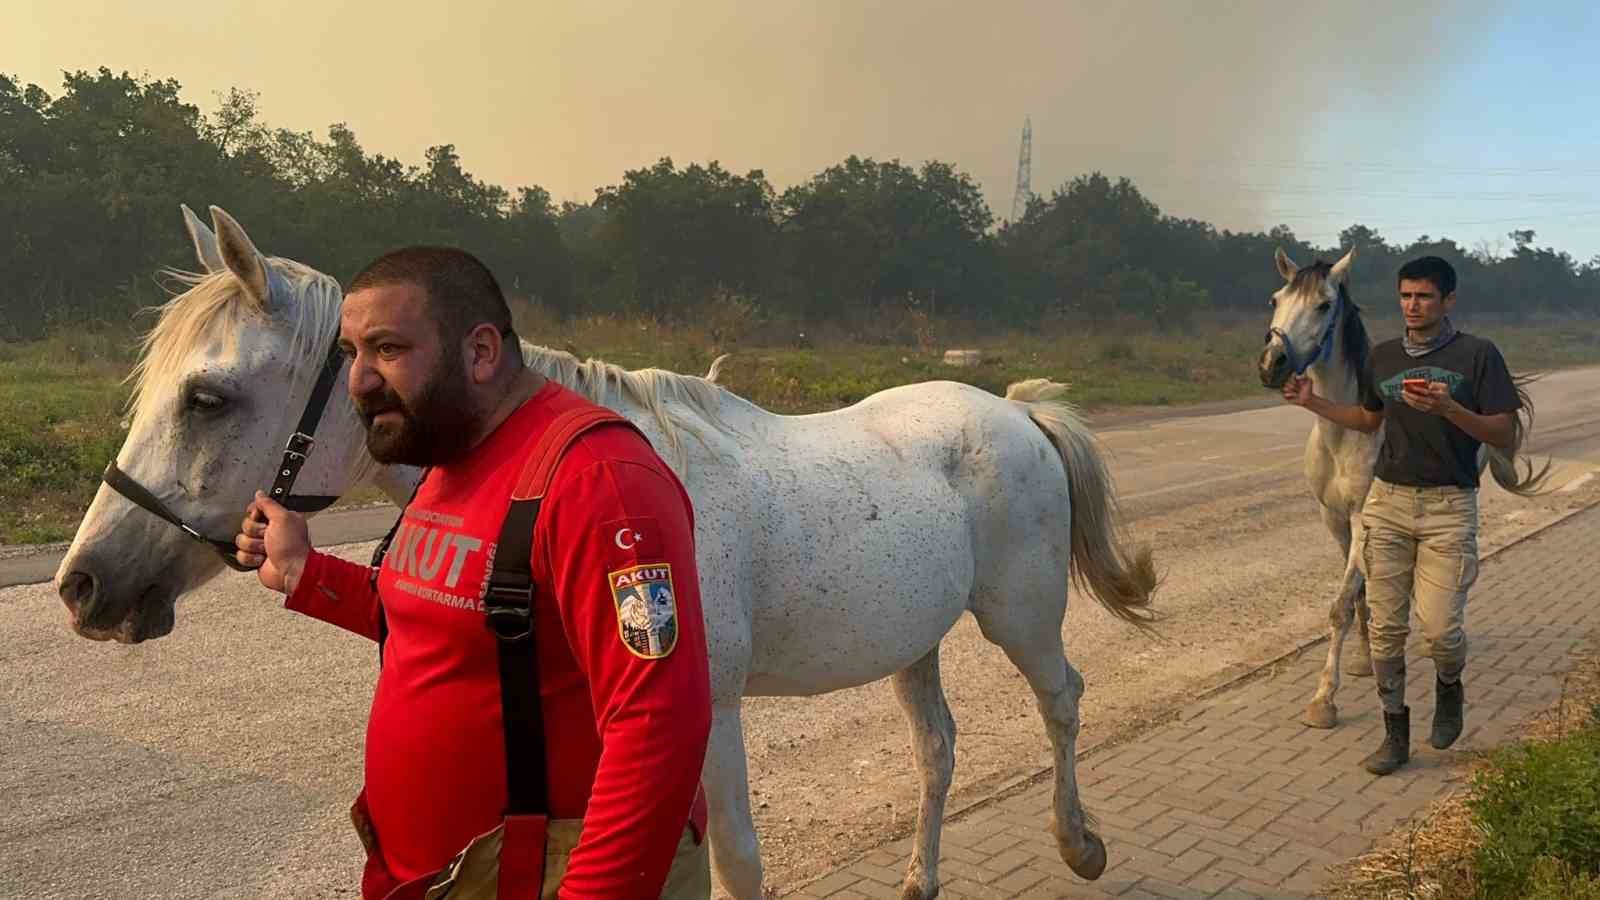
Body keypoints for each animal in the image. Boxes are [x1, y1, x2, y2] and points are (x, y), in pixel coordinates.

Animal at [56, 204, 1158, 896]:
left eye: (207, 396)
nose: (84, 585)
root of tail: (1012, 408)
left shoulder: (707, 716)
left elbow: (736, 866)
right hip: (913, 640)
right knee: (937, 752)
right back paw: (920, 877)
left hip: (1020, 619)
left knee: (1063, 701)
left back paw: (1081, 844)